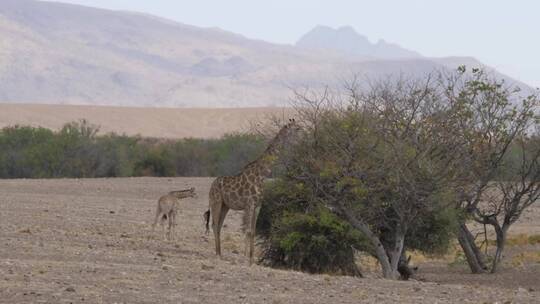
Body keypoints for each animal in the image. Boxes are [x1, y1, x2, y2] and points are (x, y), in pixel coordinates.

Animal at [205, 117, 302, 264]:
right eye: (297, 128)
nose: (301, 139)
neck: (262, 175)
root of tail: (211, 186)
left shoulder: (258, 205)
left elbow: (254, 231)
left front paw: (251, 260)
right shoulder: (249, 204)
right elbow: (248, 230)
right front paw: (245, 258)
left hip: (225, 206)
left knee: (219, 225)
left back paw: (220, 253)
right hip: (216, 202)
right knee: (214, 225)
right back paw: (217, 254)